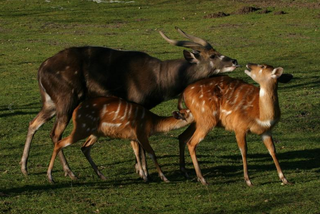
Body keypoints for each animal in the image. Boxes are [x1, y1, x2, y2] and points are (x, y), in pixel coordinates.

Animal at [46, 96, 194, 183]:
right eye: (190, 112)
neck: (151, 123)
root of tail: (75, 111)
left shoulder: (133, 137)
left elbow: (137, 153)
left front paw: (143, 176)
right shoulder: (141, 134)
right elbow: (151, 153)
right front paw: (164, 177)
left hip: (95, 133)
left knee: (85, 148)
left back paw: (102, 175)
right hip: (81, 129)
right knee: (60, 143)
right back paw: (50, 177)